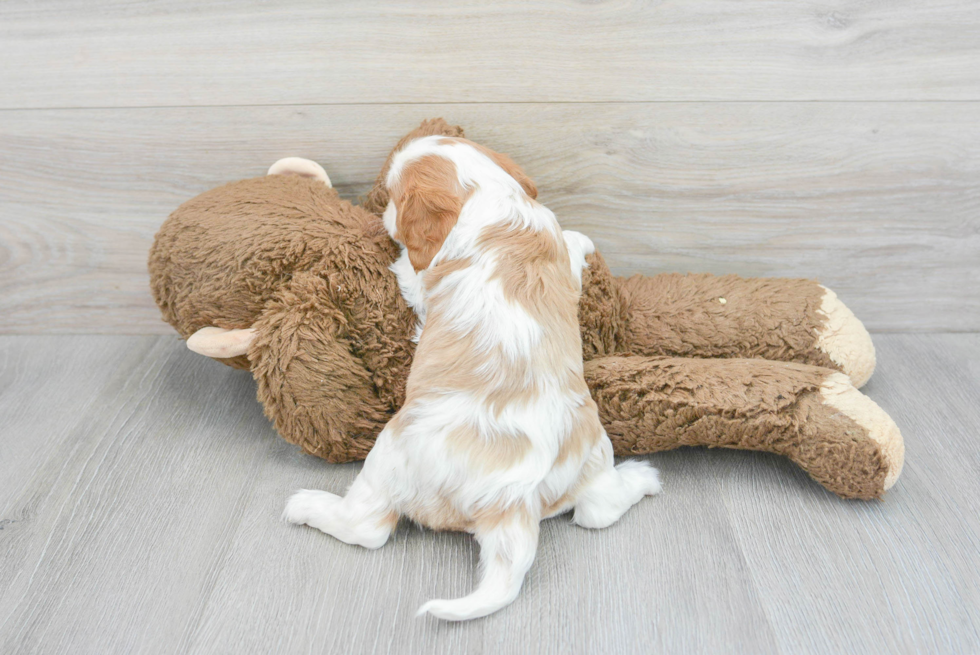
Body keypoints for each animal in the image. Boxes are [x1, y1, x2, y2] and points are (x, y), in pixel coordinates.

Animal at [288, 137, 664, 620]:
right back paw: (643, 478)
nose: (383, 213)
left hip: (387, 461)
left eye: (395, 197)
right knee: (597, 510)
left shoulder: (423, 274)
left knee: (367, 527)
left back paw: (306, 506)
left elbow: (408, 270)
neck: (488, 193)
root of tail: (512, 497)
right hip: (592, 456)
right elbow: (571, 243)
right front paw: (581, 243)